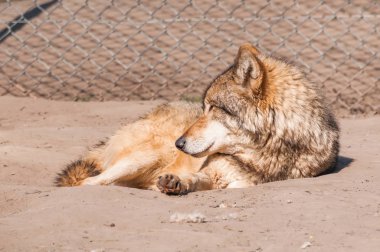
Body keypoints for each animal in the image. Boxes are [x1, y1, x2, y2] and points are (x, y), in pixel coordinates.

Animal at [55, 43, 340, 194]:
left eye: (213, 108)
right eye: (203, 107)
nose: (179, 143)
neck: (266, 155)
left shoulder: (235, 183)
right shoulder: (210, 174)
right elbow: (194, 178)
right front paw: (176, 182)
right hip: (144, 157)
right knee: (89, 181)